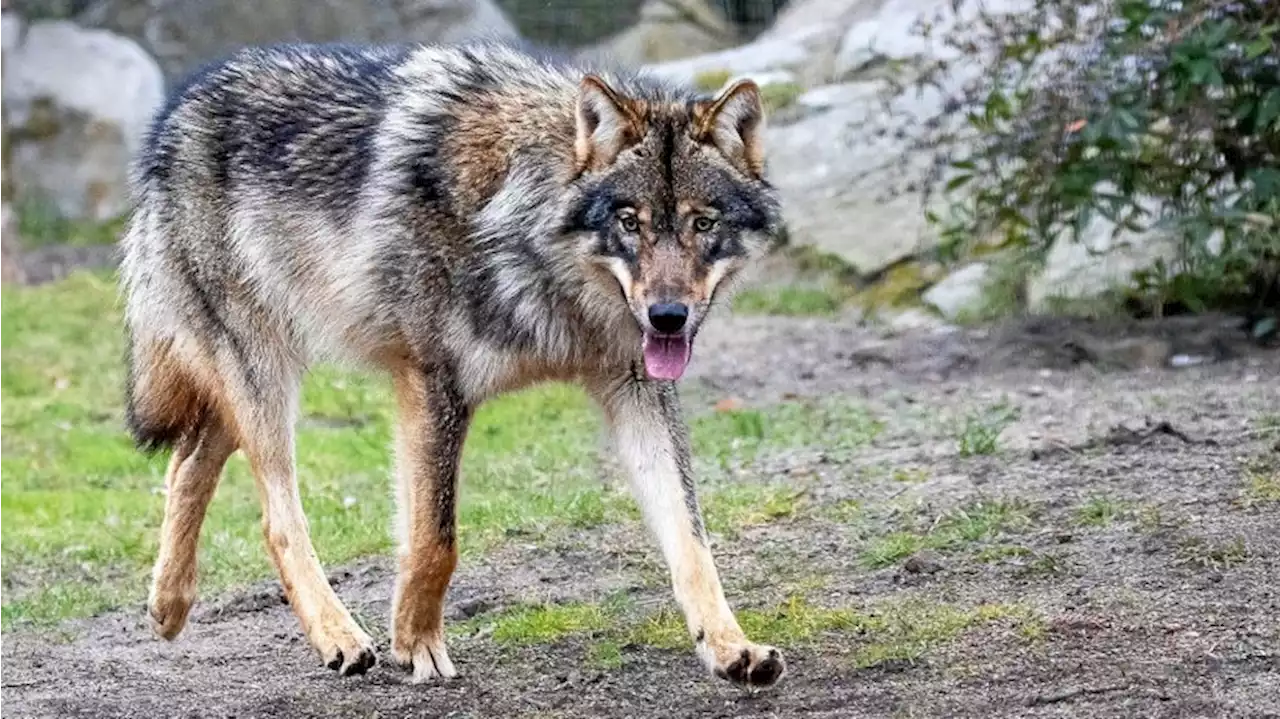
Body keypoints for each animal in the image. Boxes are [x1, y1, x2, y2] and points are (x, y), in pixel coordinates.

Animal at [120, 40, 783, 690]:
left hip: (252, 376)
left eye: (703, 223)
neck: (523, 230)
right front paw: (416, 644)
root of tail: (177, 110)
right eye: (630, 222)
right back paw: (339, 637)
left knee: (188, 459)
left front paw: (731, 648)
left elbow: (691, 539)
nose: (668, 317)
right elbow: (436, 540)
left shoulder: (636, 389)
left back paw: (168, 607)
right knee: (275, 518)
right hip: (264, 375)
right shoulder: (433, 382)